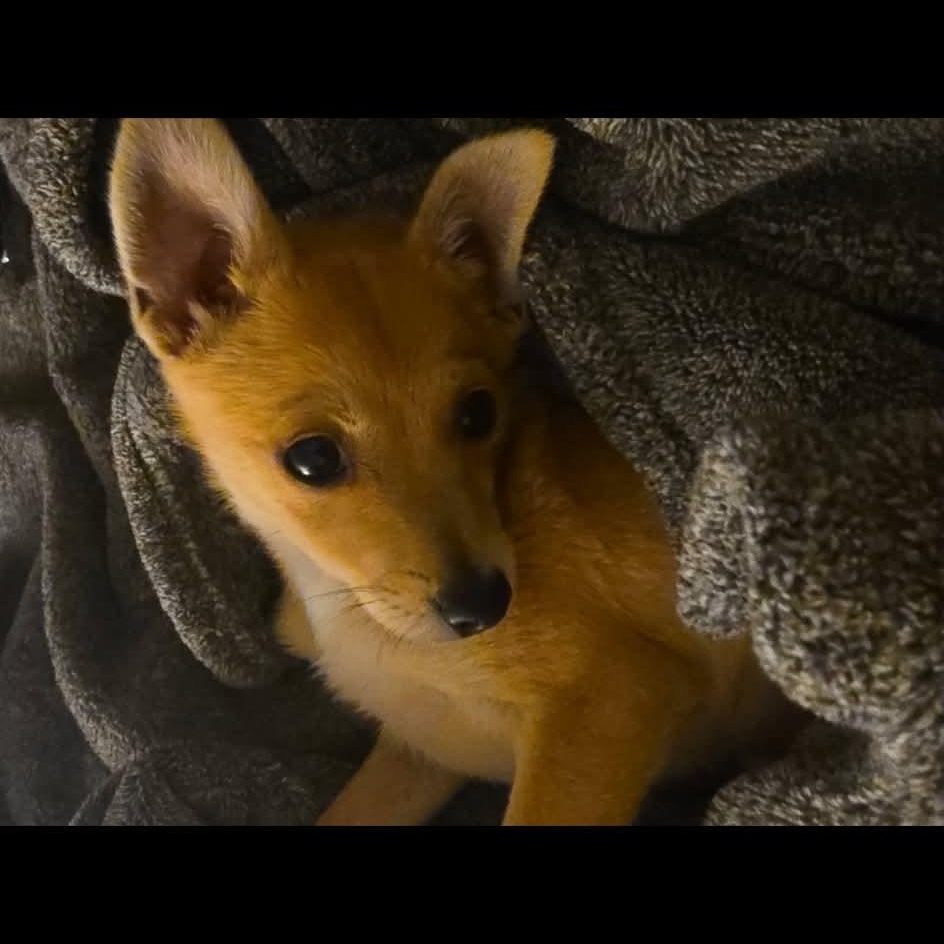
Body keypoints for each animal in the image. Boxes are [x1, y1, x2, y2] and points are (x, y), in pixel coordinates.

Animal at [107, 118, 804, 826]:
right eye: (312, 459)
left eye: (478, 414)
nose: (483, 606)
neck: (349, 607)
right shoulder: (422, 753)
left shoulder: (610, 699)